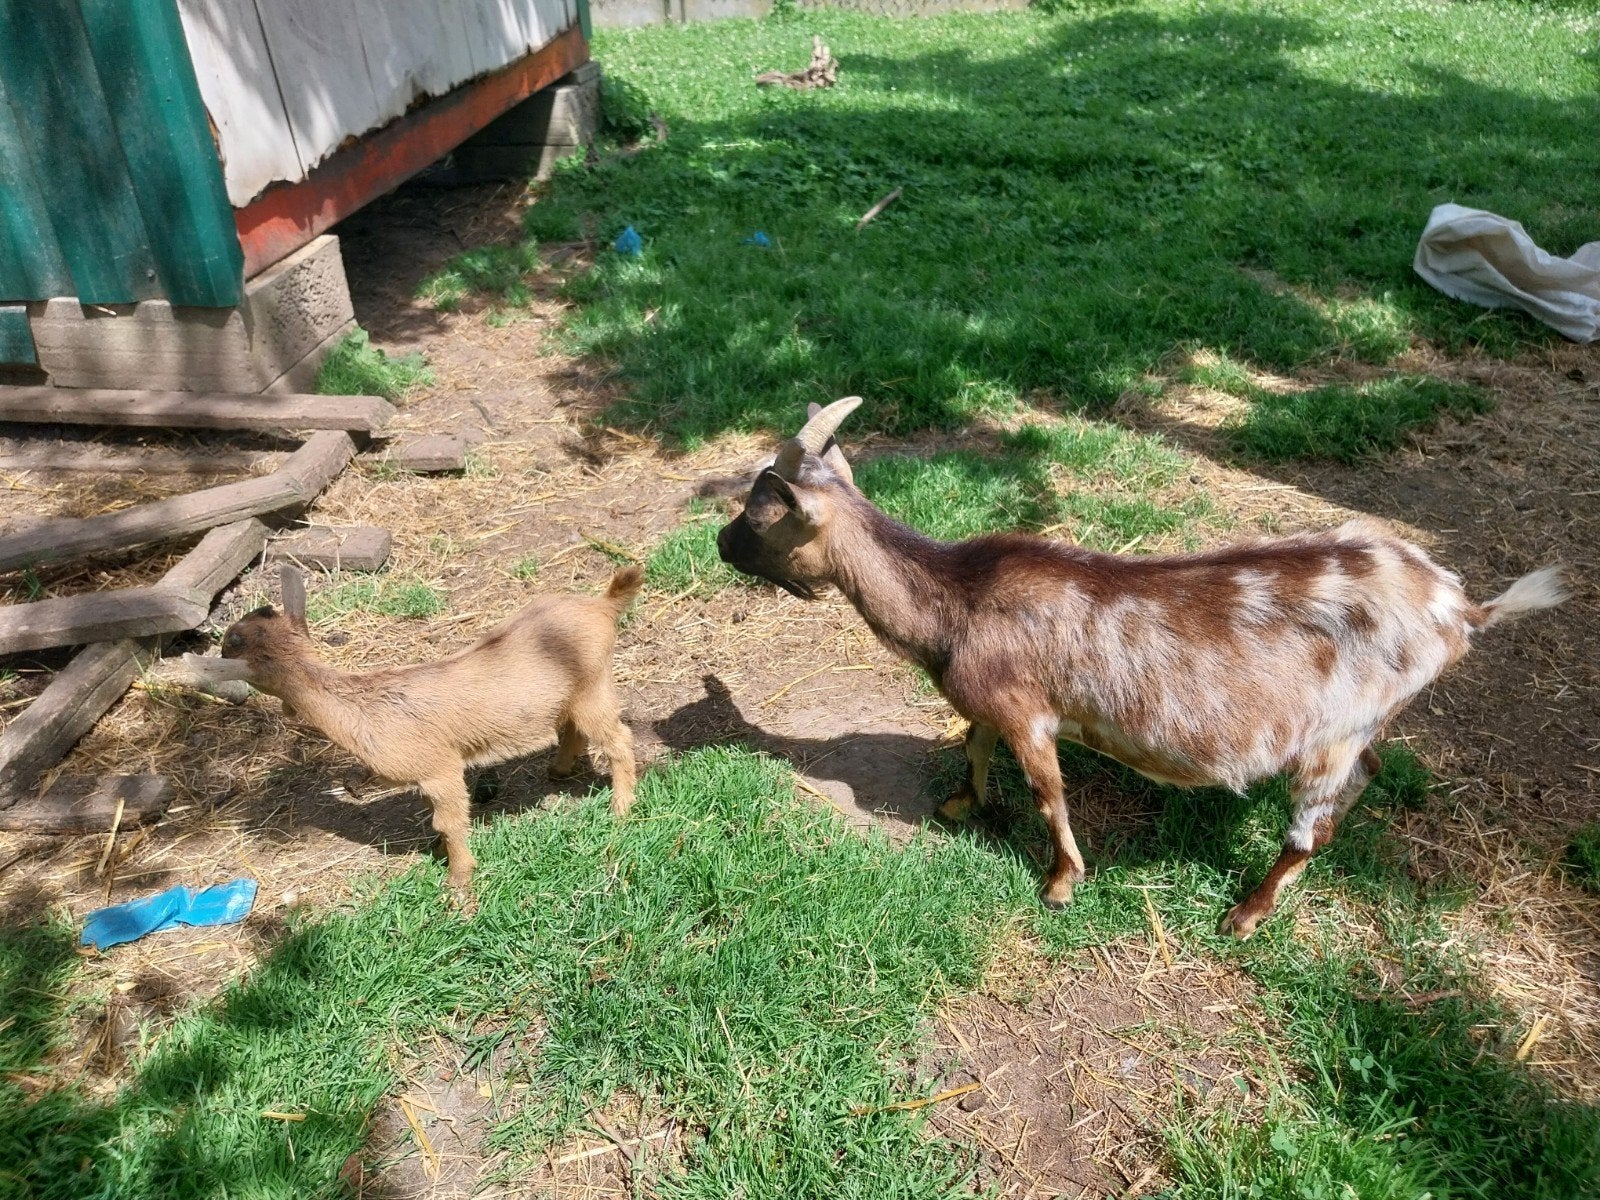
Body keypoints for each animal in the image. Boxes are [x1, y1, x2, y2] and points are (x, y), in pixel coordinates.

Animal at [214, 565, 642, 901]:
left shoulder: (441, 770)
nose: (219, 648)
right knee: (574, 730)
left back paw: (621, 809)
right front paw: (438, 853)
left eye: (232, 642)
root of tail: (603, 604)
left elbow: (449, 823)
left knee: (618, 740)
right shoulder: (419, 776)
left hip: (592, 687)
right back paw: (559, 771)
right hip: (571, 695)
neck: (363, 707)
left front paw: (458, 885)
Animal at [717, 397, 1569, 937]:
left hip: (1332, 731)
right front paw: (962, 804)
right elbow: (972, 741)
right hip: (1362, 725)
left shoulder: (1030, 711)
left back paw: (1245, 916)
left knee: (1315, 822)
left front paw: (1061, 884)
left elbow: (1048, 793)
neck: (956, 599)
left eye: (760, 513)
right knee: (1369, 774)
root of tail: (1464, 608)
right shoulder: (995, 706)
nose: (720, 544)